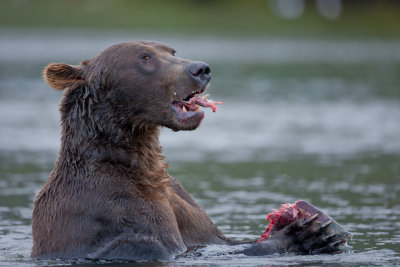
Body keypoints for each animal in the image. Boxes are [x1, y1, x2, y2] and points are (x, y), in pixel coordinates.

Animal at [31, 42, 344, 262]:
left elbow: (218, 240)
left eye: (170, 50)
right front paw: (305, 235)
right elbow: (152, 241)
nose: (201, 69)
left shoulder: (182, 205)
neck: (141, 168)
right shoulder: (114, 207)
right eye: (145, 57)